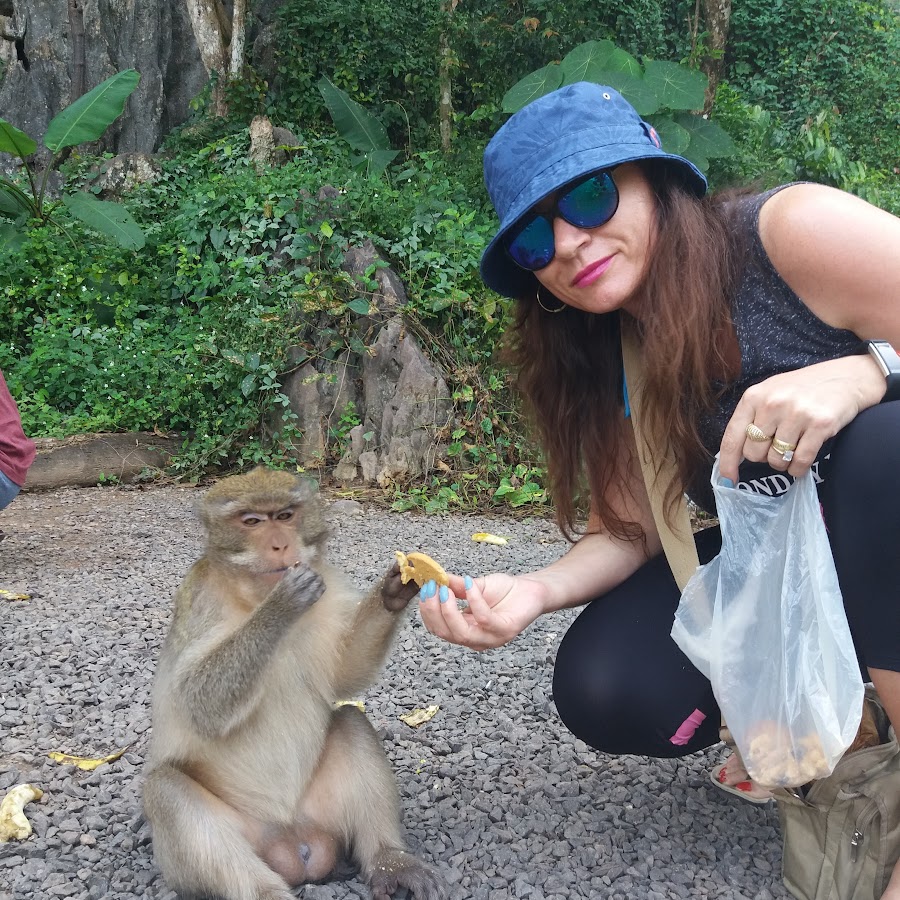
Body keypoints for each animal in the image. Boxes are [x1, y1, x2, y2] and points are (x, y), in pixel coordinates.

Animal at [143, 467, 446, 900]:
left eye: (285, 516)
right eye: (252, 521)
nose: (280, 544)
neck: (250, 597)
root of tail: (293, 838)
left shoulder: (329, 589)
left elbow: (343, 673)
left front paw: (396, 587)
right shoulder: (199, 600)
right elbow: (199, 704)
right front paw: (282, 605)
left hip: (321, 814)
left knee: (351, 721)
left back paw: (388, 860)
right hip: (249, 838)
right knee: (166, 790)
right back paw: (264, 891)